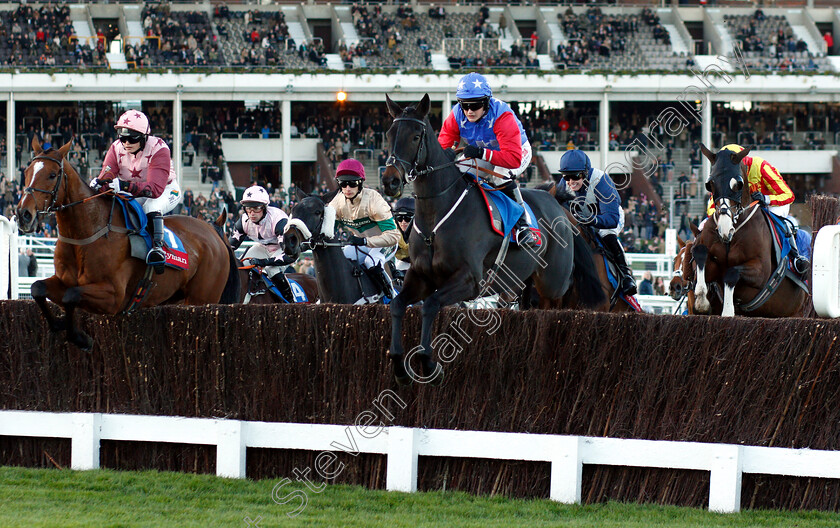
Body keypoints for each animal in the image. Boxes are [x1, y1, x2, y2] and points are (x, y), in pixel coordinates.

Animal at [15, 138, 240, 348]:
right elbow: (37, 288)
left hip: (202, 299)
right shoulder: (63, 281)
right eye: (26, 171)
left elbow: (71, 295)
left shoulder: (113, 297)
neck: (85, 234)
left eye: (52, 175)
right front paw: (60, 324)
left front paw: (80, 337)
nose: (23, 214)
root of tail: (213, 231)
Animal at [380, 94, 604, 384]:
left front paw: (429, 364)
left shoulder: (469, 280)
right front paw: (398, 365)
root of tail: (559, 207)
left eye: (416, 136)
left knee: (559, 304)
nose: (390, 181)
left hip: (552, 283)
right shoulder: (419, 277)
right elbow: (397, 305)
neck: (436, 216)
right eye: (389, 133)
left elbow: (429, 305)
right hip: (523, 282)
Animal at [692, 144, 812, 318]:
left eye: (739, 184)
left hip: (797, 312)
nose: (724, 229)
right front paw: (701, 300)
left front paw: (728, 310)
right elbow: (700, 252)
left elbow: (732, 273)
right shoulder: (713, 266)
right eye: (710, 184)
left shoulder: (760, 272)